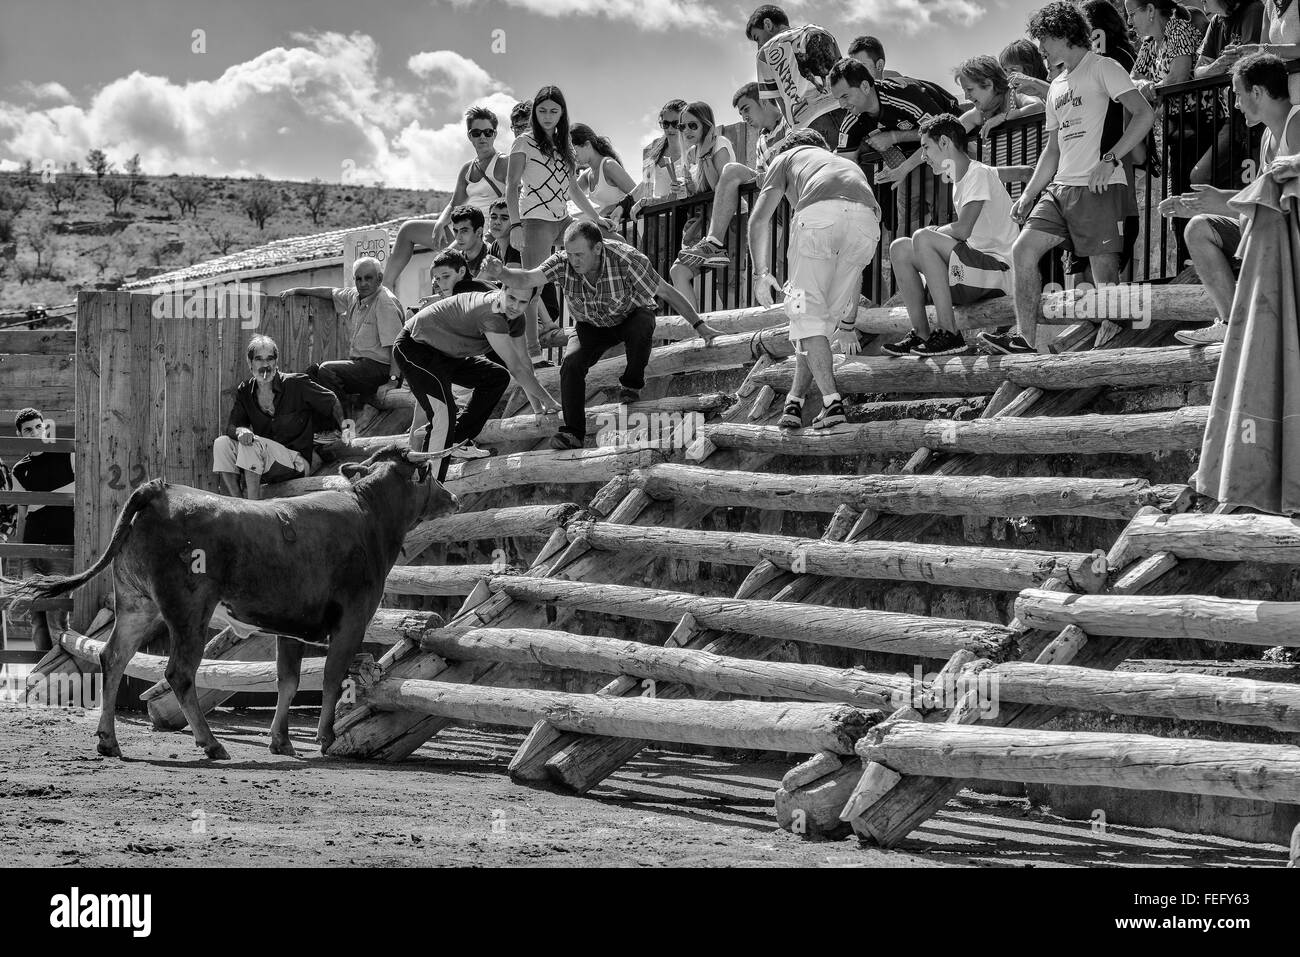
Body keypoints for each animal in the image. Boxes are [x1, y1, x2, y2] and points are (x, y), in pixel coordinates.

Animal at [0, 447, 457, 764]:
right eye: (429, 475)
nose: (451, 498)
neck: (368, 516)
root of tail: (160, 489)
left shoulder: (290, 627)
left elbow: (288, 680)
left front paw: (281, 740)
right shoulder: (353, 618)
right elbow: (331, 677)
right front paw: (325, 738)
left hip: (137, 603)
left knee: (113, 658)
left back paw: (109, 741)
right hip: (189, 611)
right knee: (179, 672)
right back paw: (211, 743)